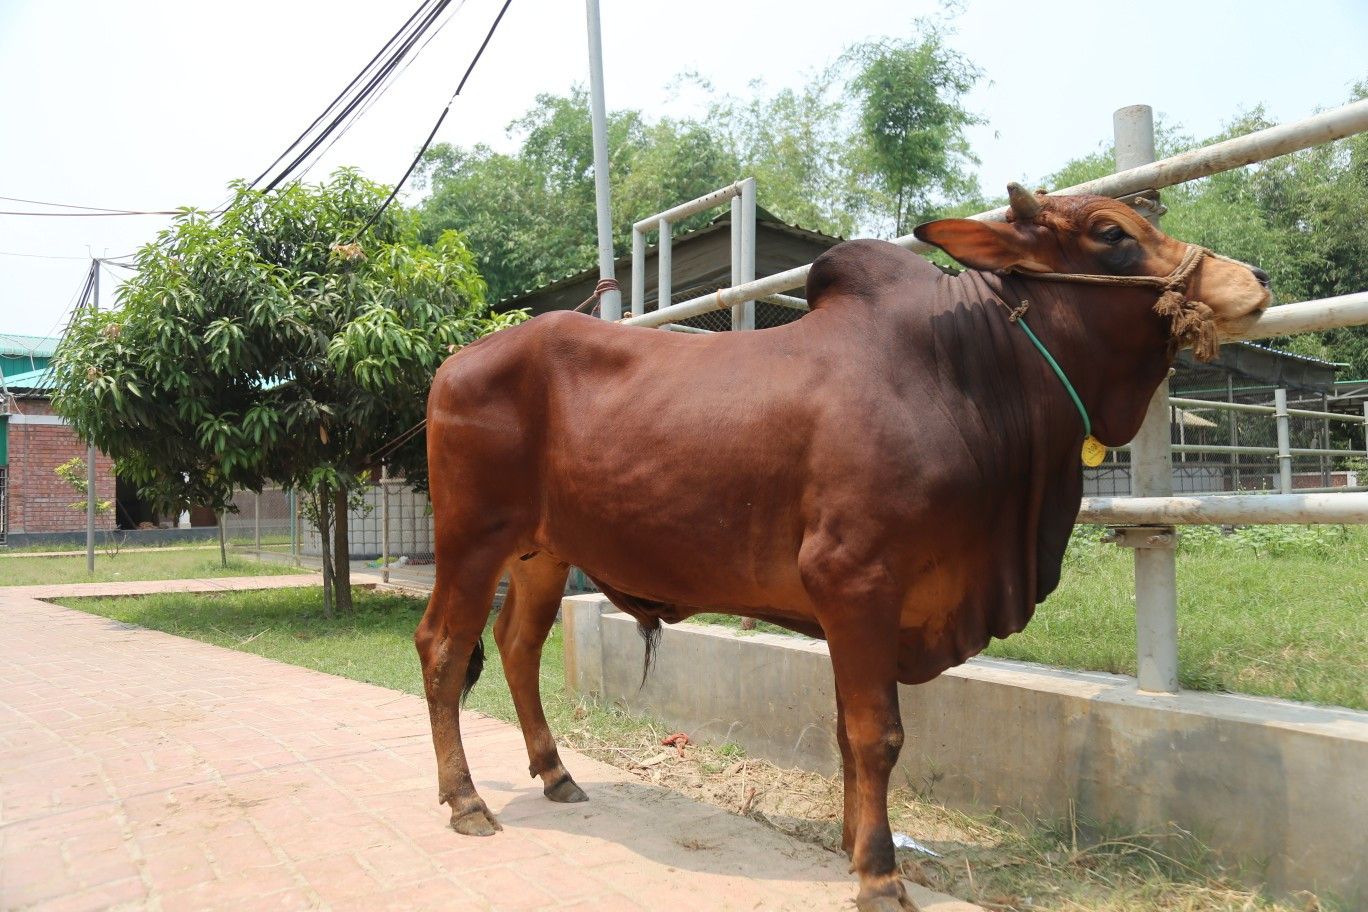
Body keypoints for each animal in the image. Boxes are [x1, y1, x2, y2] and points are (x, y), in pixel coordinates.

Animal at [415, 184, 1271, 912]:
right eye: (1111, 233)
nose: (1255, 277)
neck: (965, 373)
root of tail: (454, 362)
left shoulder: (855, 607)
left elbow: (846, 733)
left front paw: (853, 846)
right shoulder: (857, 581)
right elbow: (877, 735)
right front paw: (880, 875)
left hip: (541, 553)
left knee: (516, 645)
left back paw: (556, 773)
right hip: (471, 539)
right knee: (443, 649)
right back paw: (466, 800)